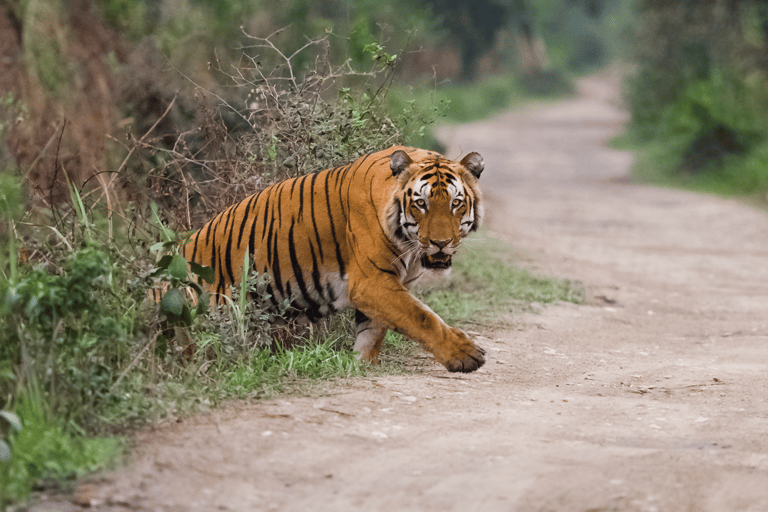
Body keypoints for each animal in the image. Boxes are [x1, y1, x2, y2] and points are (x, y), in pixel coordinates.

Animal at [182, 144, 486, 372]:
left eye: (456, 203)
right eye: (421, 203)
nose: (440, 243)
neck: (409, 247)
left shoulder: (385, 285)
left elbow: (373, 332)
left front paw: (361, 365)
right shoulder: (371, 282)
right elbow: (421, 317)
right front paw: (464, 354)